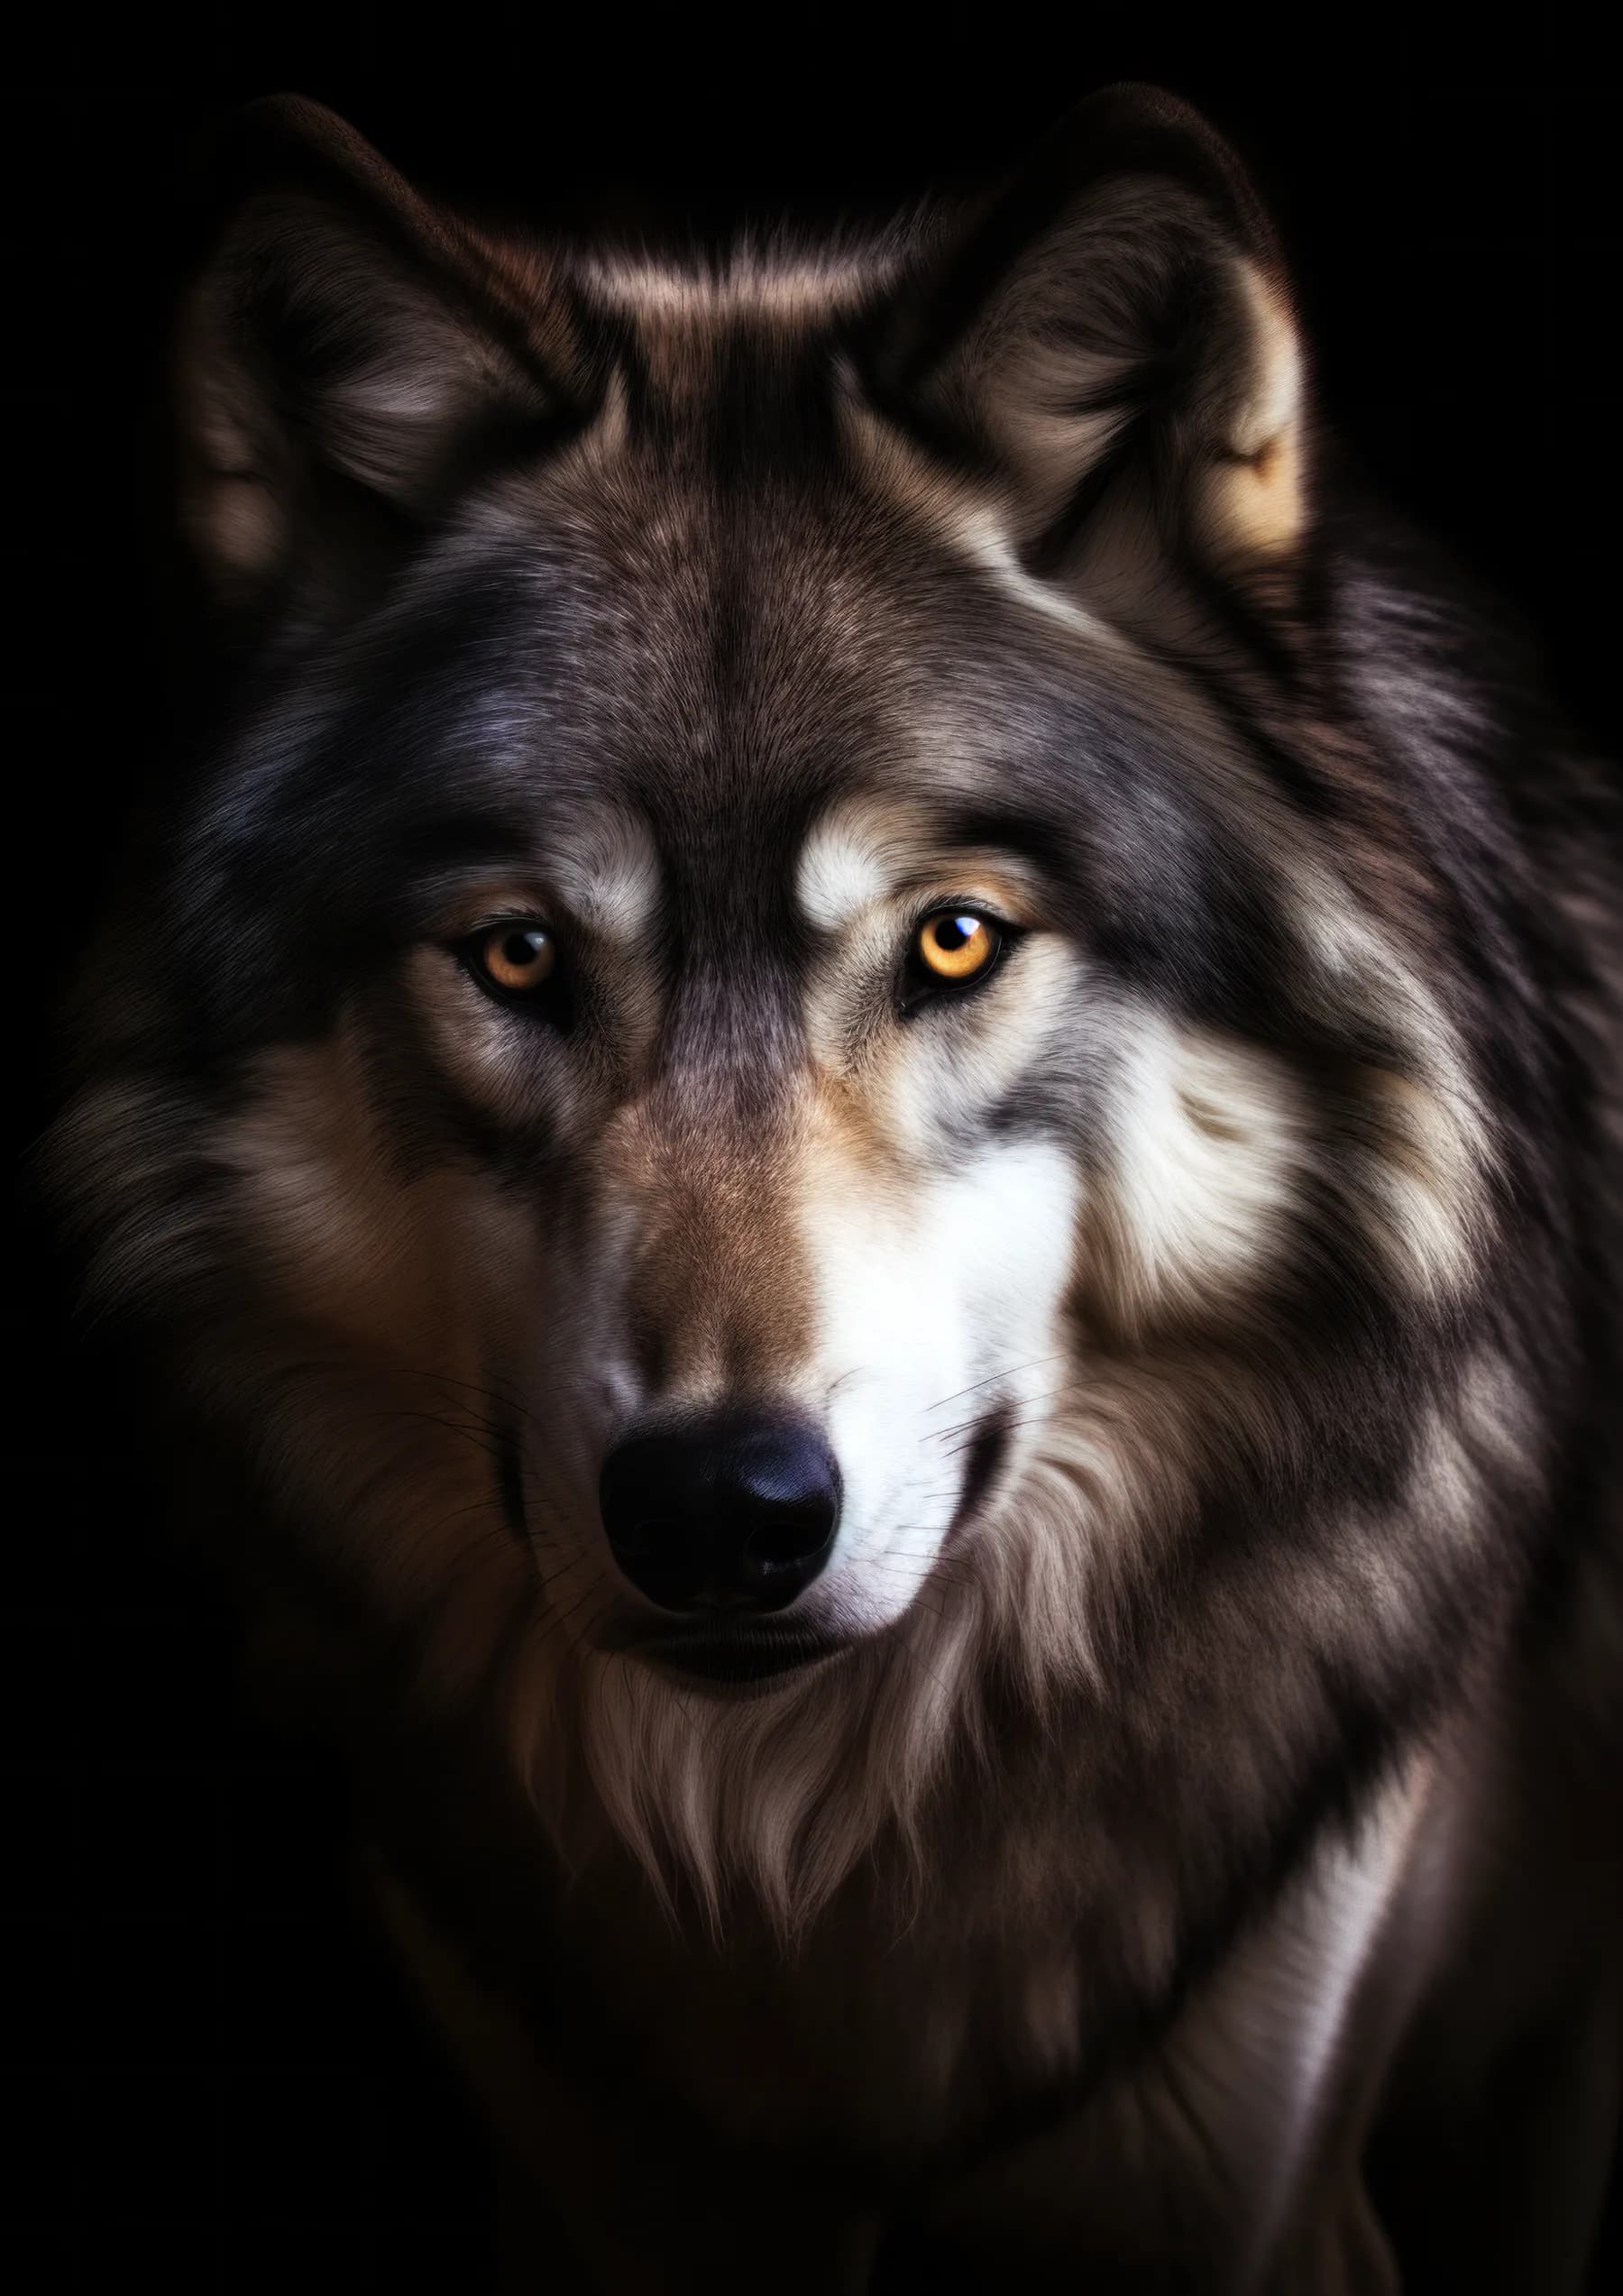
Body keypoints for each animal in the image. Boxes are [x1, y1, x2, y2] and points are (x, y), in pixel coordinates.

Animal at [49, 83, 1621, 2291]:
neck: (798, 1860)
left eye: (953, 940)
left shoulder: (1254, 2183)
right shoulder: (602, 2179)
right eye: (518, 956)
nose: (720, 1511)